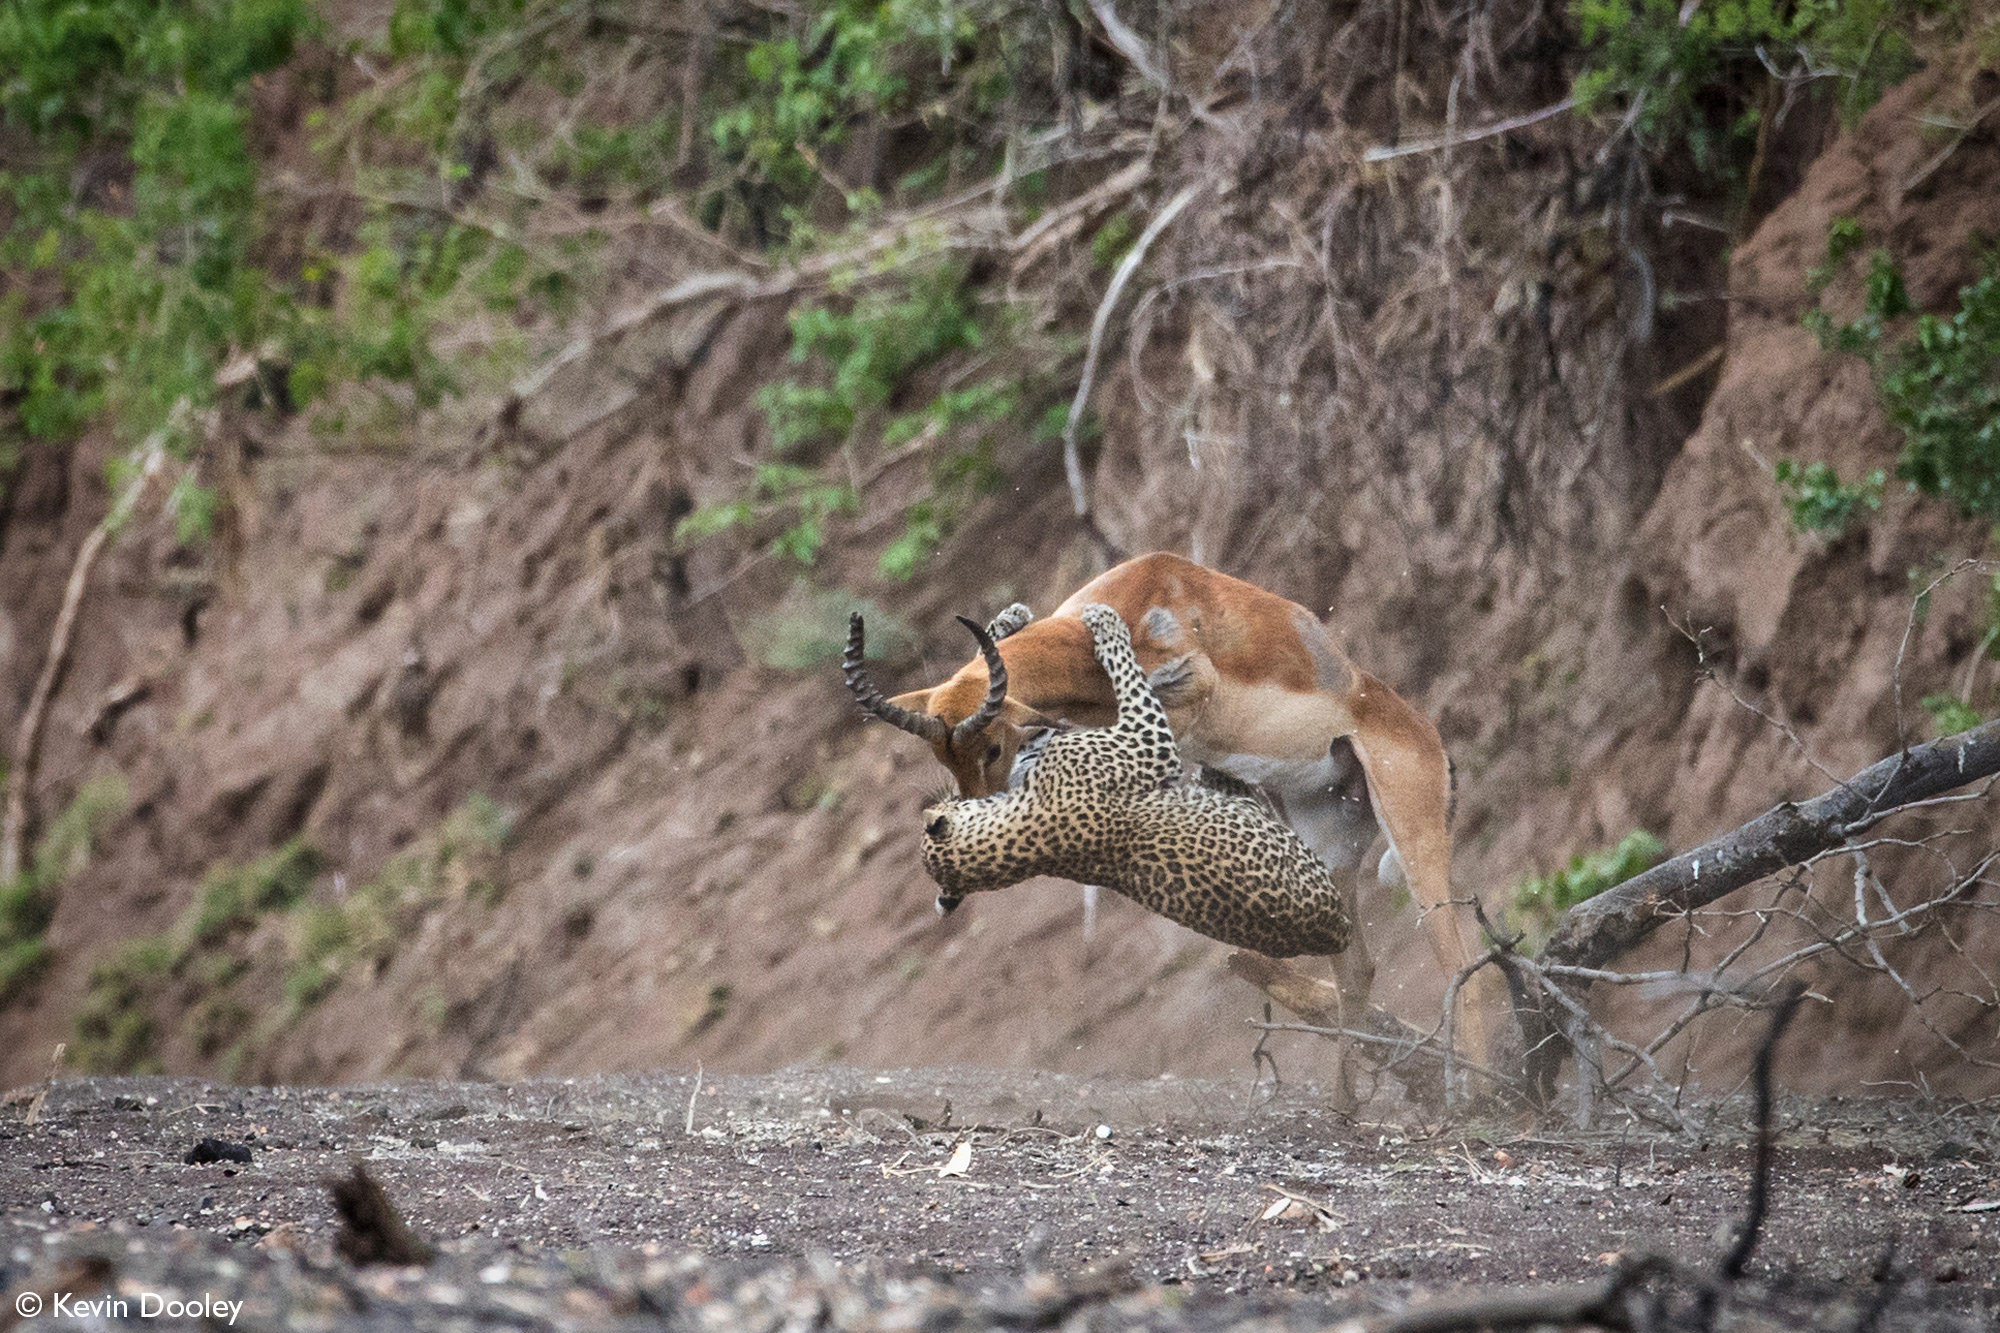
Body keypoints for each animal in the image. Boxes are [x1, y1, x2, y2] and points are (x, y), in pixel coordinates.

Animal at [920, 600, 1360, 956]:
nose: (939, 799)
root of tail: (1335, 935)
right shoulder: (1148, 743)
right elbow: (1125, 674)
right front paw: (1104, 621)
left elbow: (982, 685)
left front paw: (1007, 623)